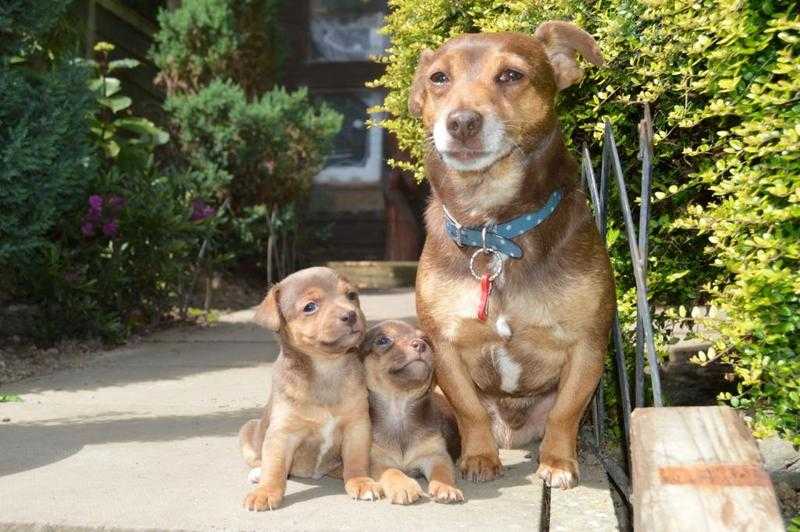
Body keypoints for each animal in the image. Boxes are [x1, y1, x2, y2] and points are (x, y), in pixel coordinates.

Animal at [241, 268, 382, 510]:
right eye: (310, 307)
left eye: (351, 296)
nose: (351, 315)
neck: (326, 367)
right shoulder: (282, 433)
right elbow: (275, 467)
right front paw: (266, 492)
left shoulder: (357, 426)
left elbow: (356, 460)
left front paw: (360, 482)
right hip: (247, 431)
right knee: (260, 460)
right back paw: (258, 474)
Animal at [360, 320, 466, 502]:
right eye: (383, 340)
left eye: (425, 339)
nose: (421, 345)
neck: (400, 408)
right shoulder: (378, 461)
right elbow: (393, 471)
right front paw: (403, 487)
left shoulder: (436, 457)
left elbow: (442, 473)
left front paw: (446, 487)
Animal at [410, 20, 616, 488]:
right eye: (438, 79)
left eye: (510, 75)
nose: (461, 122)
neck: (494, 229)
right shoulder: (445, 347)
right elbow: (470, 410)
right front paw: (479, 457)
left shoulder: (587, 347)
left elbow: (565, 413)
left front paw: (557, 463)